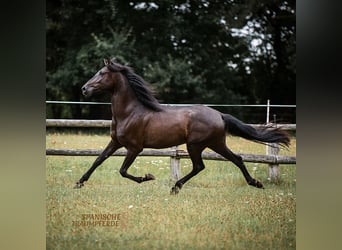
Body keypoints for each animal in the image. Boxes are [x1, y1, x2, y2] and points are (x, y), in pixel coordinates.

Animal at [75, 59, 288, 194]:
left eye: (102, 73)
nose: (84, 89)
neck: (129, 112)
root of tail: (219, 115)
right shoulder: (115, 142)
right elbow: (98, 160)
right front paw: (78, 183)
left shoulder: (135, 148)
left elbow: (123, 171)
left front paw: (148, 177)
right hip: (215, 144)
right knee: (236, 159)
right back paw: (255, 183)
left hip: (196, 145)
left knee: (201, 166)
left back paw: (175, 187)